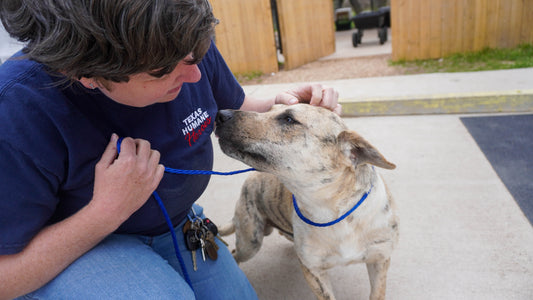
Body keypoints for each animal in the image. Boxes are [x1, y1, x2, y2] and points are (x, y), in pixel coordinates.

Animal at [214, 103, 396, 300]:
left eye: (289, 119)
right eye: (270, 108)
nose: (220, 115)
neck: (334, 213)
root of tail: (249, 180)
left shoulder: (380, 260)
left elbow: (377, 293)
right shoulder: (314, 272)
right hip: (250, 242)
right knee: (235, 253)